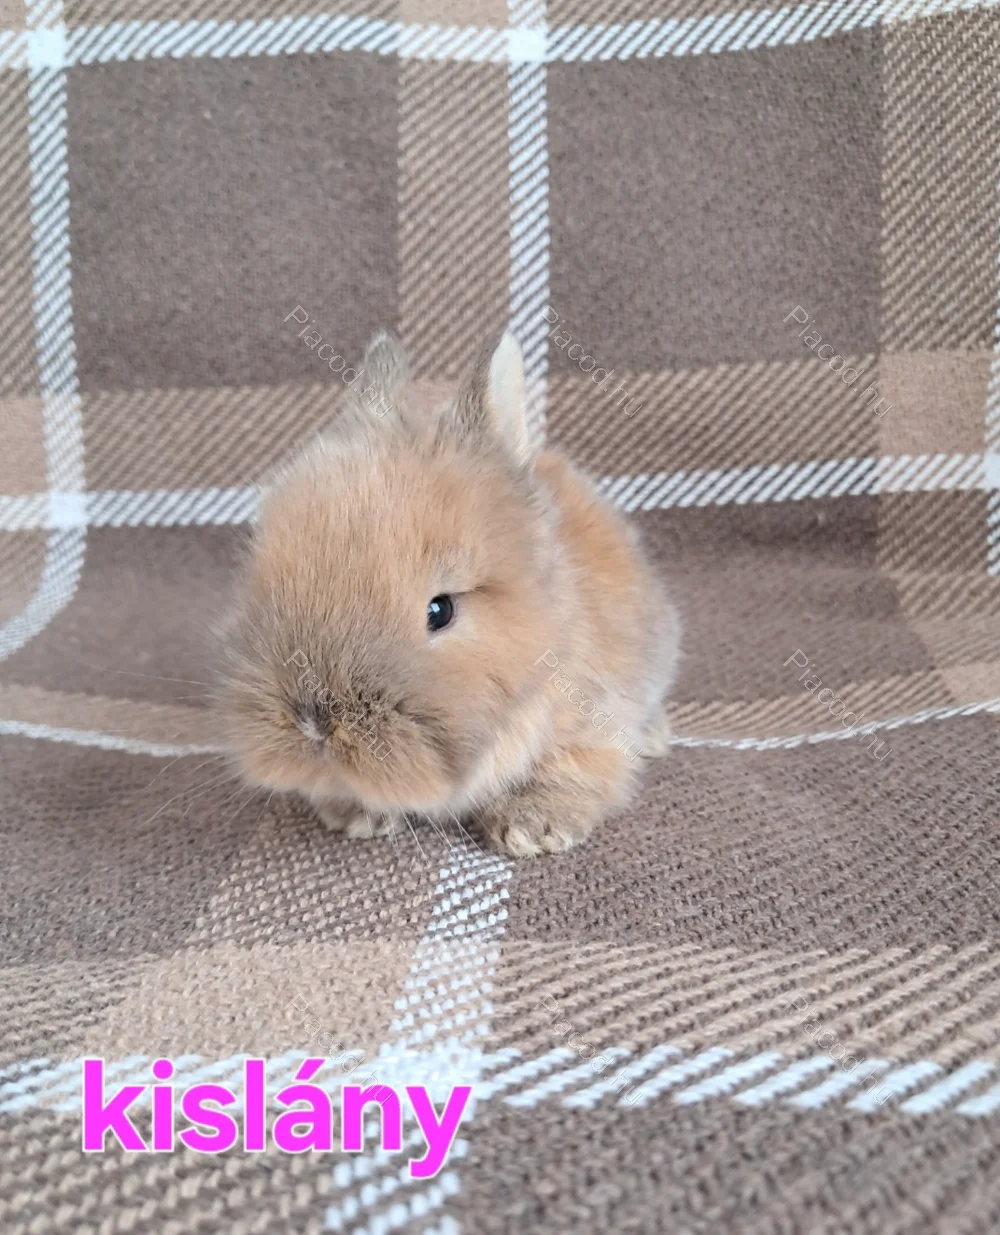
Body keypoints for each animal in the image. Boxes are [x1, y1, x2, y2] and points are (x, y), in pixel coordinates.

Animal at [216, 328, 680, 858]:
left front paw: (529, 830)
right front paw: (355, 816)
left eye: (441, 611)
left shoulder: (592, 727)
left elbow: (571, 774)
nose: (313, 724)